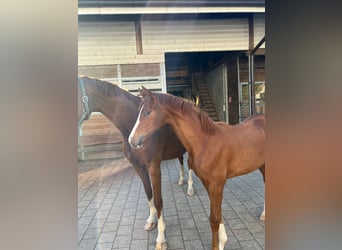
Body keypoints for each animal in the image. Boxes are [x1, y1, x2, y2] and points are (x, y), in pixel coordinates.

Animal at [78, 77, 195, 246]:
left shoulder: (154, 166)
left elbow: (158, 200)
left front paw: (161, 237)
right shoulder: (138, 167)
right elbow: (148, 193)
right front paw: (151, 221)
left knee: (191, 166)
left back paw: (190, 189)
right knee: (180, 160)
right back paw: (181, 180)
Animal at [130, 87, 266, 249]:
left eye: (147, 112)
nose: (131, 140)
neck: (205, 141)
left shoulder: (216, 184)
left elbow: (214, 219)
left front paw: (217, 245)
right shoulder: (208, 183)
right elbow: (217, 215)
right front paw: (223, 241)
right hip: (263, 166)